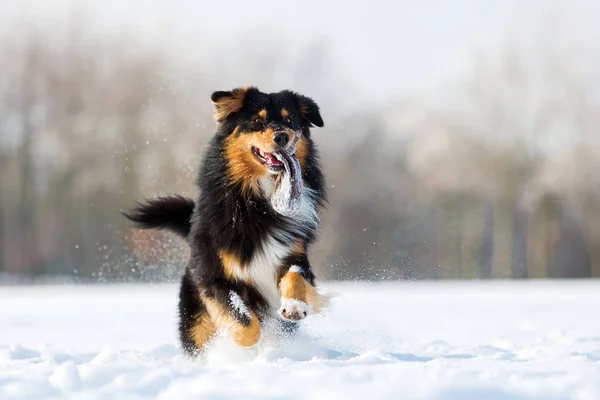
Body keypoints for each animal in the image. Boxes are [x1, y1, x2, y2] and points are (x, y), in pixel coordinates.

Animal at [122, 87, 328, 356]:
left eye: (290, 120)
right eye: (258, 121)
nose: (282, 136)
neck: (259, 204)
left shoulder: (294, 253)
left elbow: (296, 277)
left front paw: (294, 306)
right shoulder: (214, 276)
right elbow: (245, 324)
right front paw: (238, 344)